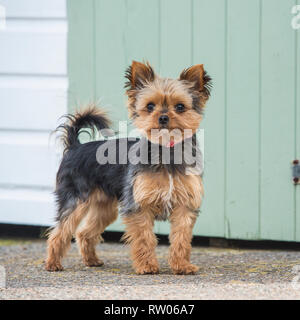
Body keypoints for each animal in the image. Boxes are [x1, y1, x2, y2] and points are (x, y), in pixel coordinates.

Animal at [45, 60, 212, 276]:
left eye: (180, 107)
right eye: (150, 106)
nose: (163, 117)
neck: (166, 150)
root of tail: (75, 146)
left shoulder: (184, 207)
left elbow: (181, 239)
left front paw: (182, 266)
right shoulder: (138, 206)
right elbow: (144, 238)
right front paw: (147, 266)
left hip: (105, 207)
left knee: (84, 232)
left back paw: (92, 260)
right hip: (75, 200)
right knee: (60, 231)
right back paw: (52, 263)